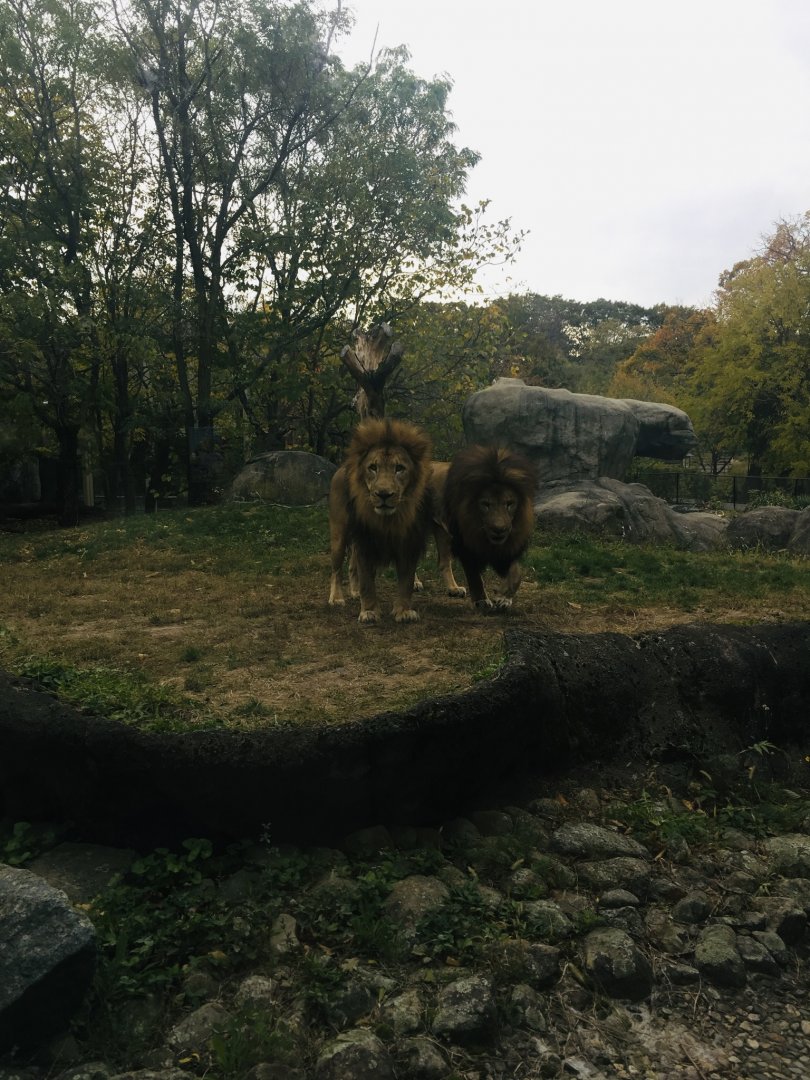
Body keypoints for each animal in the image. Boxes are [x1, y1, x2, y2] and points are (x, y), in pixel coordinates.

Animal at [328, 417, 434, 623]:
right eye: (373, 468)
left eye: (399, 468)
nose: (384, 494)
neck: (389, 521)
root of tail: (340, 468)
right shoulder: (364, 541)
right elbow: (367, 582)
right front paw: (369, 612)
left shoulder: (409, 543)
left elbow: (406, 581)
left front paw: (403, 611)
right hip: (339, 534)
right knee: (336, 570)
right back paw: (337, 598)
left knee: (352, 566)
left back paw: (354, 592)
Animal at [443, 445, 537, 610]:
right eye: (485, 504)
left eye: (509, 503)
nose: (499, 529)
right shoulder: (466, 546)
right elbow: (474, 576)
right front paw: (481, 600)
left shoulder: (510, 547)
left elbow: (516, 572)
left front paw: (504, 597)